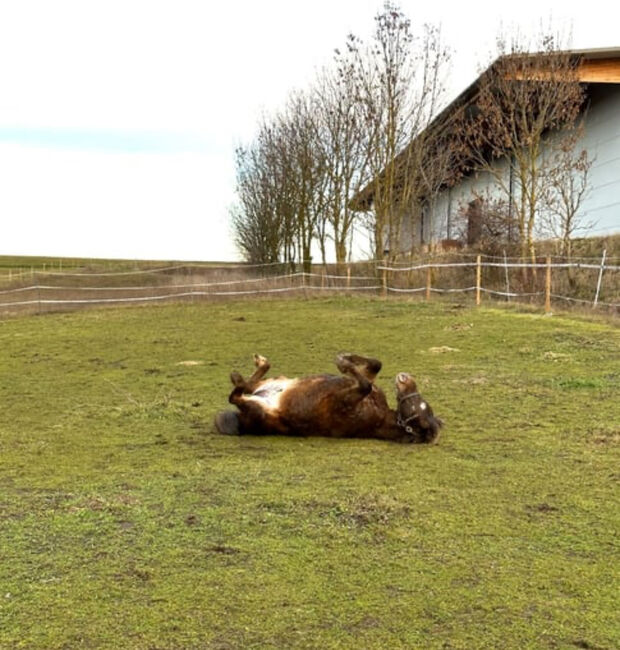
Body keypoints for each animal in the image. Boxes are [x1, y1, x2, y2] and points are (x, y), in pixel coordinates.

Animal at [216, 352, 444, 442]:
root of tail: (241, 420)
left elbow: (365, 384)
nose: (406, 377)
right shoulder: (363, 382)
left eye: (417, 407)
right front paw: (347, 357)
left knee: (236, 396)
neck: (380, 415)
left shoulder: (346, 400)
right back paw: (248, 370)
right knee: (250, 383)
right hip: (275, 380)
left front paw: (342, 362)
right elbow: (375, 365)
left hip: (259, 410)